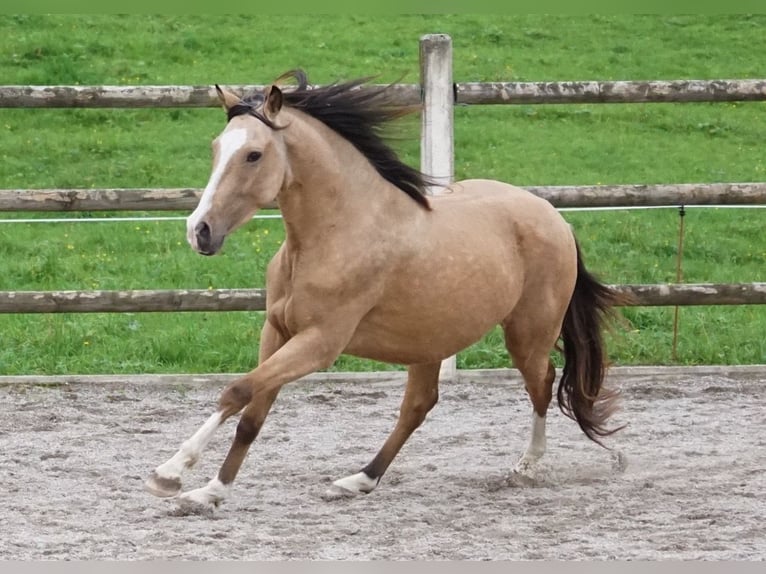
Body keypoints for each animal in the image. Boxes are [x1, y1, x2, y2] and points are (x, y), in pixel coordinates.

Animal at [144, 70, 628, 511]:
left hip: (527, 334)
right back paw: (357, 480)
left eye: (253, 154)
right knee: (419, 405)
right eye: (215, 149)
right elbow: (252, 415)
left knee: (542, 383)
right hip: (431, 339)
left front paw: (169, 473)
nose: (199, 231)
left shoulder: (319, 343)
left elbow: (237, 392)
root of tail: (552, 214)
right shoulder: (277, 332)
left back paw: (526, 467)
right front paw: (209, 492)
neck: (334, 235)